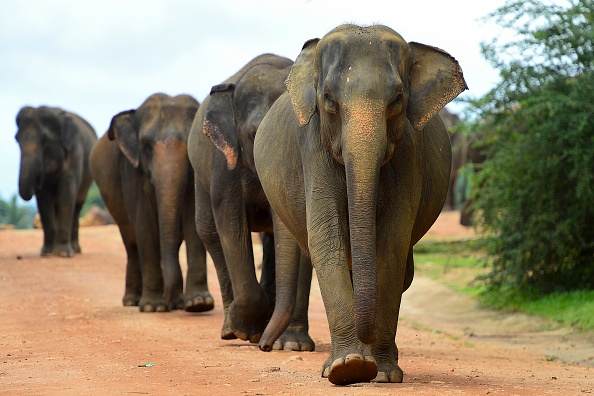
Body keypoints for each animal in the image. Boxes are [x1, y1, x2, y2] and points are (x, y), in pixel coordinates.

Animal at [15, 106, 96, 258]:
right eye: (17, 140)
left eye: (45, 140)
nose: (37, 182)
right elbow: (44, 199)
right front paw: (47, 253)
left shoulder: (75, 153)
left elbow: (67, 193)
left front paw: (63, 254)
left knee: (77, 206)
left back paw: (75, 250)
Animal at [90, 93, 213, 312]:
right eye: (146, 146)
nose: (169, 303)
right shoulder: (132, 171)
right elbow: (145, 224)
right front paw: (152, 308)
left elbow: (194, 221)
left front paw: (199, 304)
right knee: (131, 244)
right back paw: (133, 301)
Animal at [187, 52, 314, 350]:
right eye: (255, 134)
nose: (265, 346)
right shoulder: (225, 164)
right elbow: (231, 222)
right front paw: (250, 332)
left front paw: (292, 344)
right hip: (200, 174)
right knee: (210, 233)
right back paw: (231, 330)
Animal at [254, 24, 468, 384]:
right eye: (328, 99)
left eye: (397, 100)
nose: (263, 348)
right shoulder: (314, 147)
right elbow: (327, 238)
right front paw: (348, 367)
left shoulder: (408, 153)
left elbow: (392, 245)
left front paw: (382, 373)